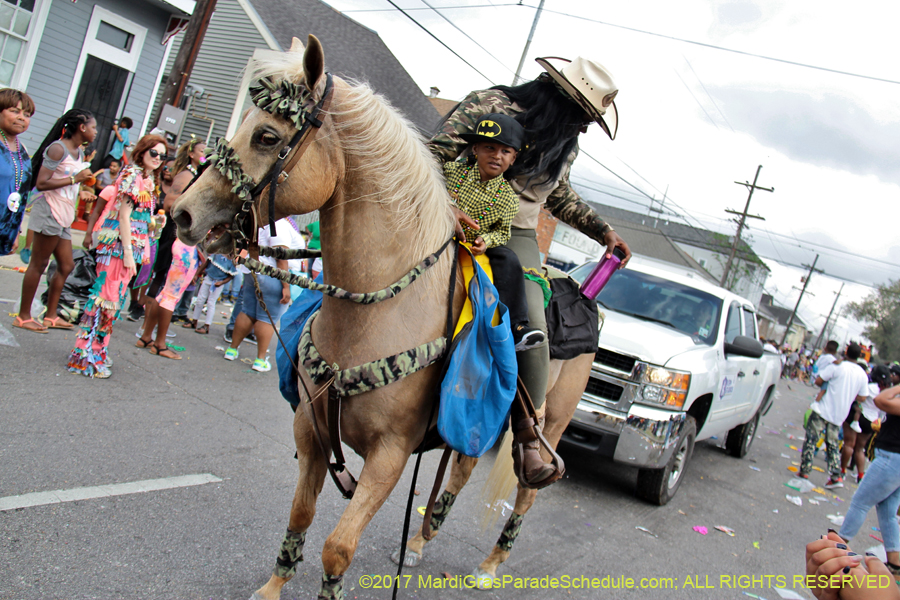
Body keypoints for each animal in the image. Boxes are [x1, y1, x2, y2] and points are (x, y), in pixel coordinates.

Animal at [176, 35, 596, 596]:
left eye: (266, 136)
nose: (183, 213)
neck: (378, 312)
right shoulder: (311, 431)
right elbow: (301, 515)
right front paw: (272, 586)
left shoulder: (390, 454)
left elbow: (338, 547)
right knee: (460, 470)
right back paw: (419, 541)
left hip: (551, 422)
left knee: (526, 490)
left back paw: (489, 565)